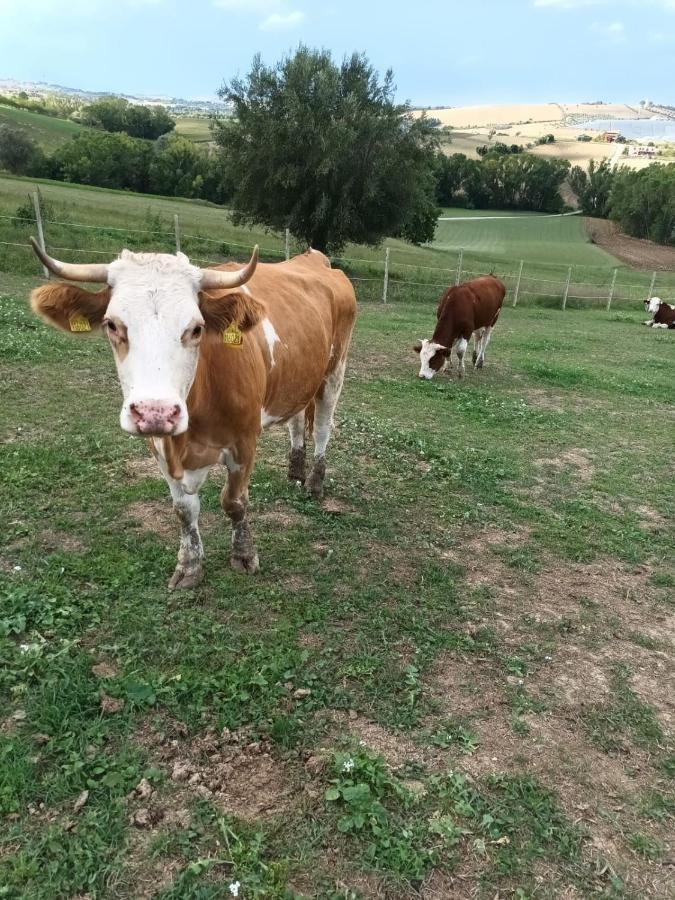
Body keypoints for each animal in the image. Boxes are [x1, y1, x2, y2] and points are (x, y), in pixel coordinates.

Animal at [30, 241, 360, 592]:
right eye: (112, 325)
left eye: (196, 328)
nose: (155, 411)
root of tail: (315, 258)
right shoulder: (160, 448)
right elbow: (184, 510)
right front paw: (189, 565)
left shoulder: (245, 441)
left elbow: (234, 501)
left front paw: (244, 555)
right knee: (297, 421)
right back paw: (295, 472)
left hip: (334, 371)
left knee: (323, 428)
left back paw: (313, 482)